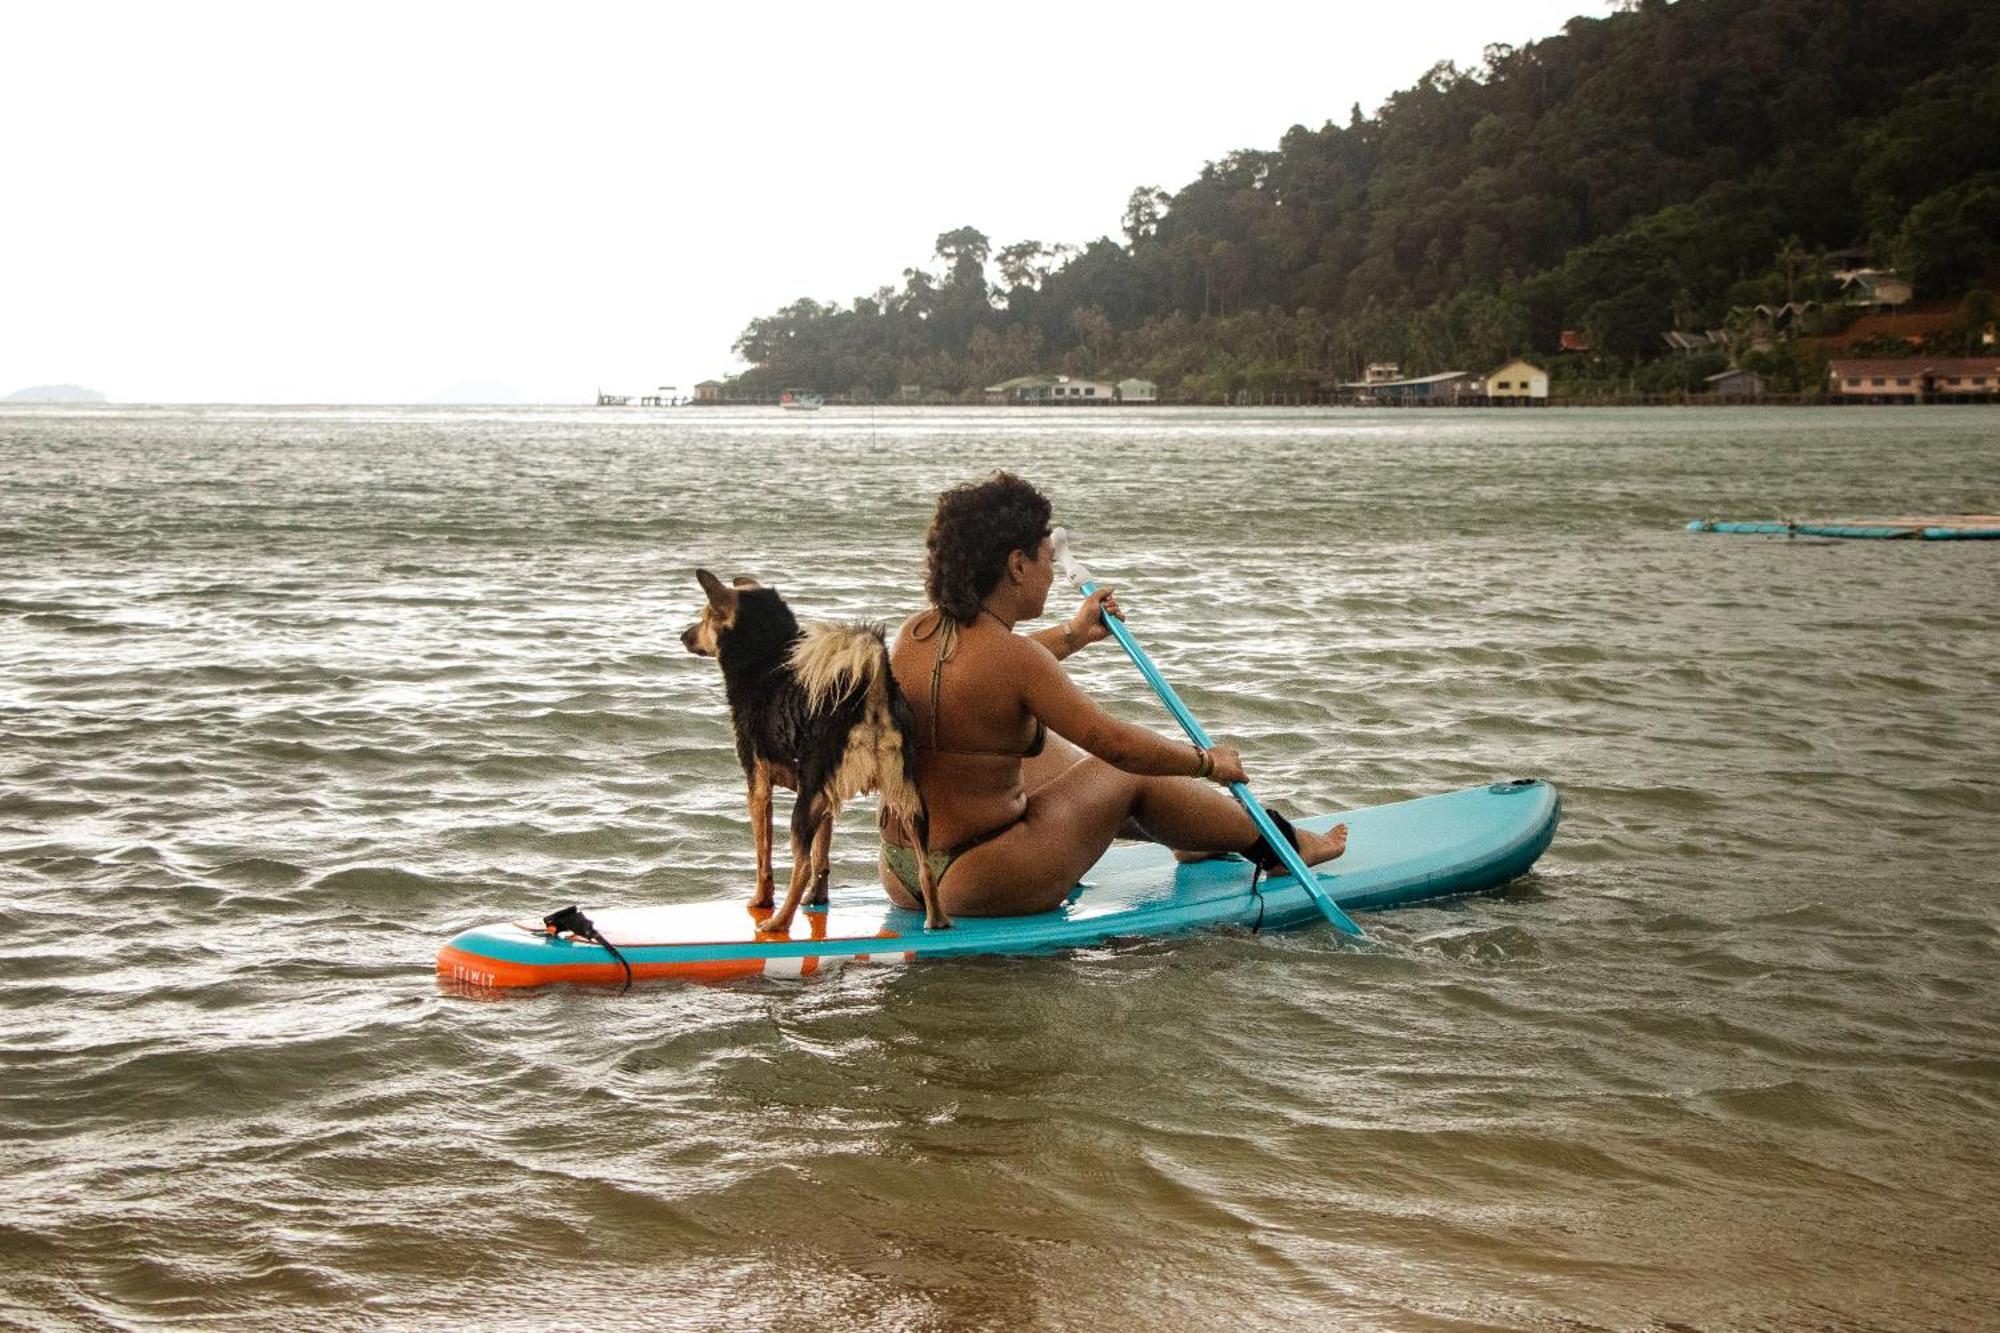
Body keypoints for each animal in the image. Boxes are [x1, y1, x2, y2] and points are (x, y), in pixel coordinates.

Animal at [680, 564, 944, 928]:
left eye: (706, 616)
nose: (684, 636)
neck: (767, 658)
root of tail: (872, 694)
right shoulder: (826, 797)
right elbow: (823, 853)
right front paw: (817, 898)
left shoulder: (758, 787)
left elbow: (764, 857)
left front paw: (761, 900)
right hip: (905, 797)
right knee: (925, 868)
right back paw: (937, 921)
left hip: (808, 800)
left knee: (800, 865)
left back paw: (778, 922)